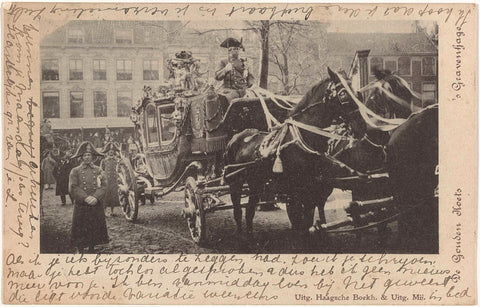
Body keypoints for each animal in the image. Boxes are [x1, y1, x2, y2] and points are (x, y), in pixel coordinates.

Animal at [223, 68, 366, 236]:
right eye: (343, 94)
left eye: (357, 92)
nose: (362, 125)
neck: (304, 138)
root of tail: (235, 137)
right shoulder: (294, 192)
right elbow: (299, 224)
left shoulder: (312, 190)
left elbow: (308, 222)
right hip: (236, 182)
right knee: (238, 212)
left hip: (255, 183)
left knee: (249, 211)